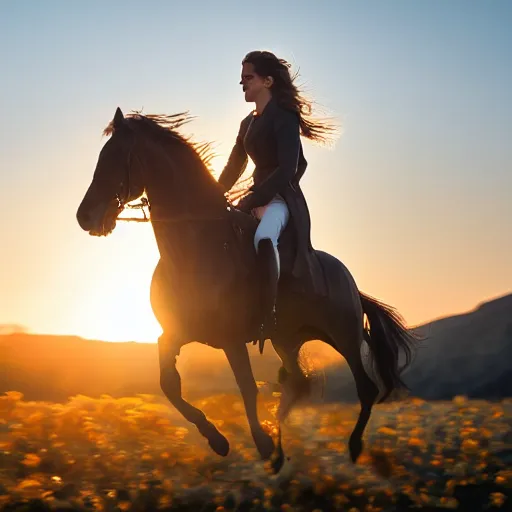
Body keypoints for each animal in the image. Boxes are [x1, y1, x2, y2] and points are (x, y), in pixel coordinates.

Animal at [77, 107, 420, 472]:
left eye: (113, 158)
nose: (84, 217)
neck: (195, 249)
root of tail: (350, 280)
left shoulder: (231, 339)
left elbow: (246, 387)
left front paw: (261, 442)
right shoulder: (175, 333)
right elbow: (169, 385)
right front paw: (218, 439)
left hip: (345, 337)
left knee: (365, 388)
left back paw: (352, 447)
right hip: (287, 340)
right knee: (298, 383)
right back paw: (281, 447)